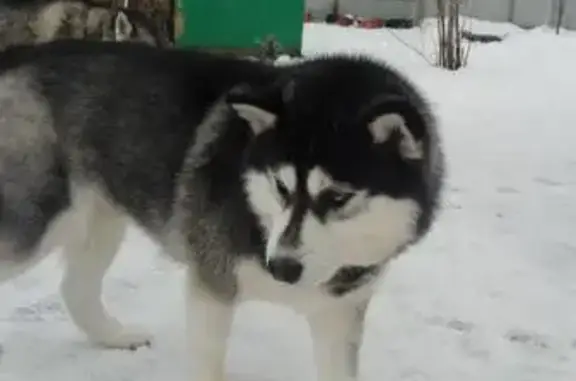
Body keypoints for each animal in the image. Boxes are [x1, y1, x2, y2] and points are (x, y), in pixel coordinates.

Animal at [0, 39, 446, 380]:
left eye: (337, 197)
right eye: (281, 186)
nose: (281, 268)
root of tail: (20, 52)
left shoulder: (339, 312)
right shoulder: (211, 287)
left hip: (99, 217)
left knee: (75, 288)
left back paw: (114, 336)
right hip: (35, 219)